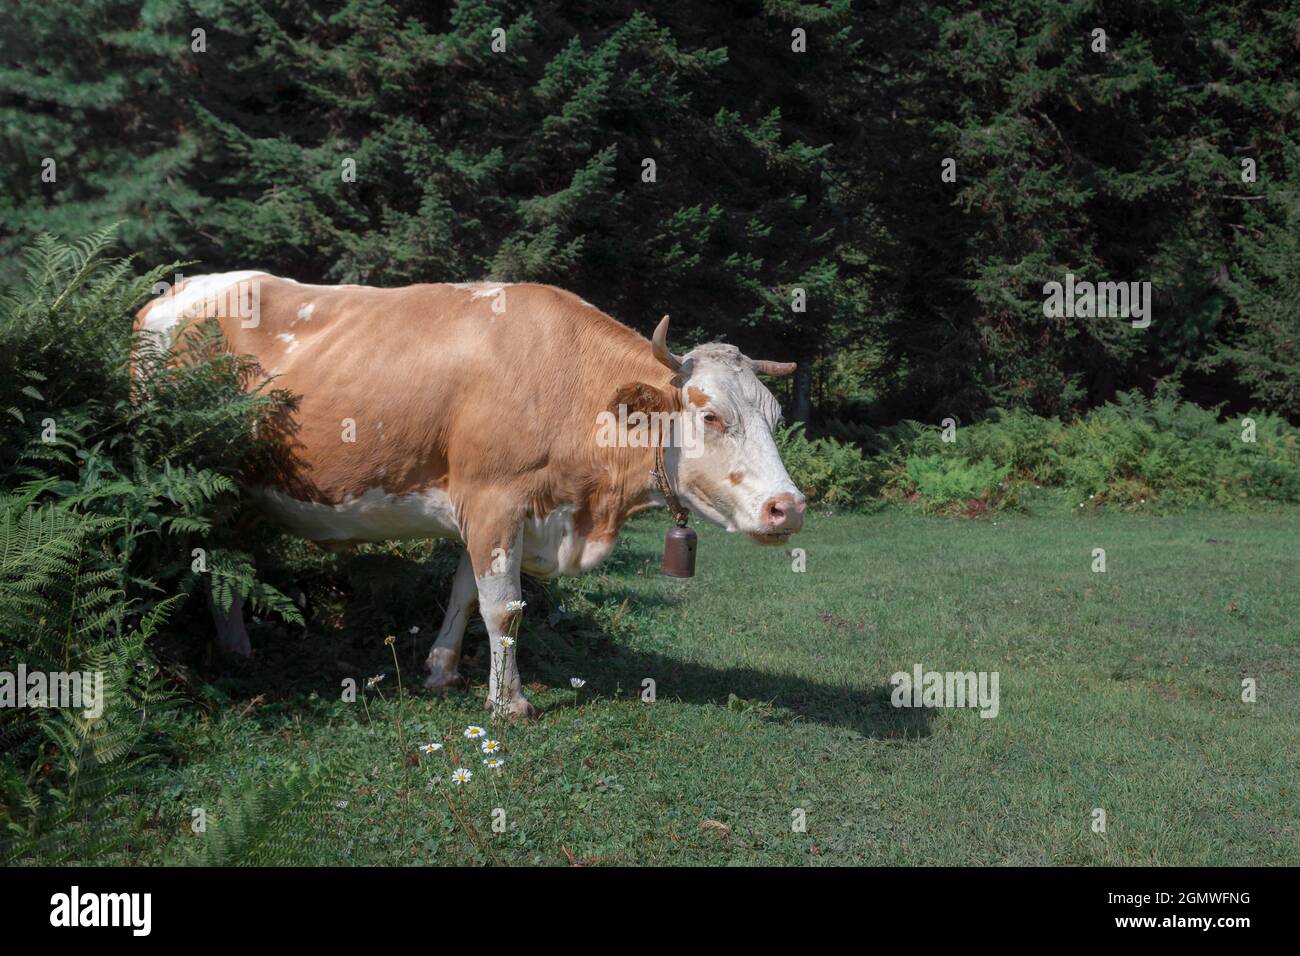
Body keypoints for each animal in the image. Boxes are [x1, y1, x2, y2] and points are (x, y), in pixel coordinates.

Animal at [136, 274, 806, 717]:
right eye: (712, 416)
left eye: (775, 417)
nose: (789, 507)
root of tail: (172, 293)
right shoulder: (494, 500)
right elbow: (503, 608)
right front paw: (509, 703)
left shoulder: (488, 511)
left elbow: (463, 594)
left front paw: (442, 672)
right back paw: (237, 651)